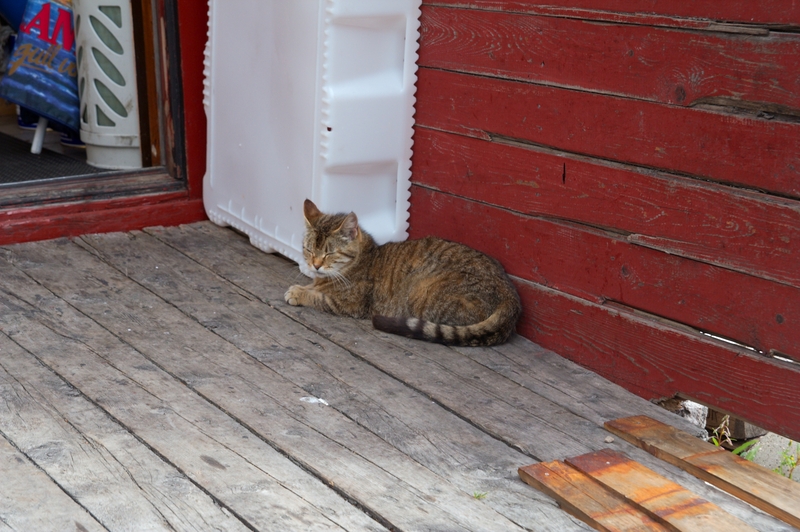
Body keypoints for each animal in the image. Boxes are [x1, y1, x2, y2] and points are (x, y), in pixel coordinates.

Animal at [284, 199, 521, 346]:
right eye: (309, 250)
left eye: (329, 253)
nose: (315, 265)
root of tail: (510, 294)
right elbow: (314, 286)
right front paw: (304, 286)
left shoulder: (349, 305)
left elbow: (318, 297)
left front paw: (298, 292)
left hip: (421, 291)